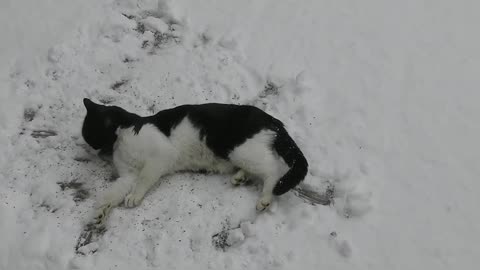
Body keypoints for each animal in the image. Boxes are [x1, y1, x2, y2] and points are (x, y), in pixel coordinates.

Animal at [82, 98, 308, 226]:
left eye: (90, 135)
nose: (93, 152)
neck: (122, 134)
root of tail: (272, 120)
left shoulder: (160, 157)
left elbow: (144, 179)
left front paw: (134, 196)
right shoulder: (128, 175)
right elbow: (112, 193)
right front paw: (101, 213)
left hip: (241, 150)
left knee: (272, 170)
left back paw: (265, 198)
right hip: (243, 154)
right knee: (259, 166)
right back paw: (240, 177)